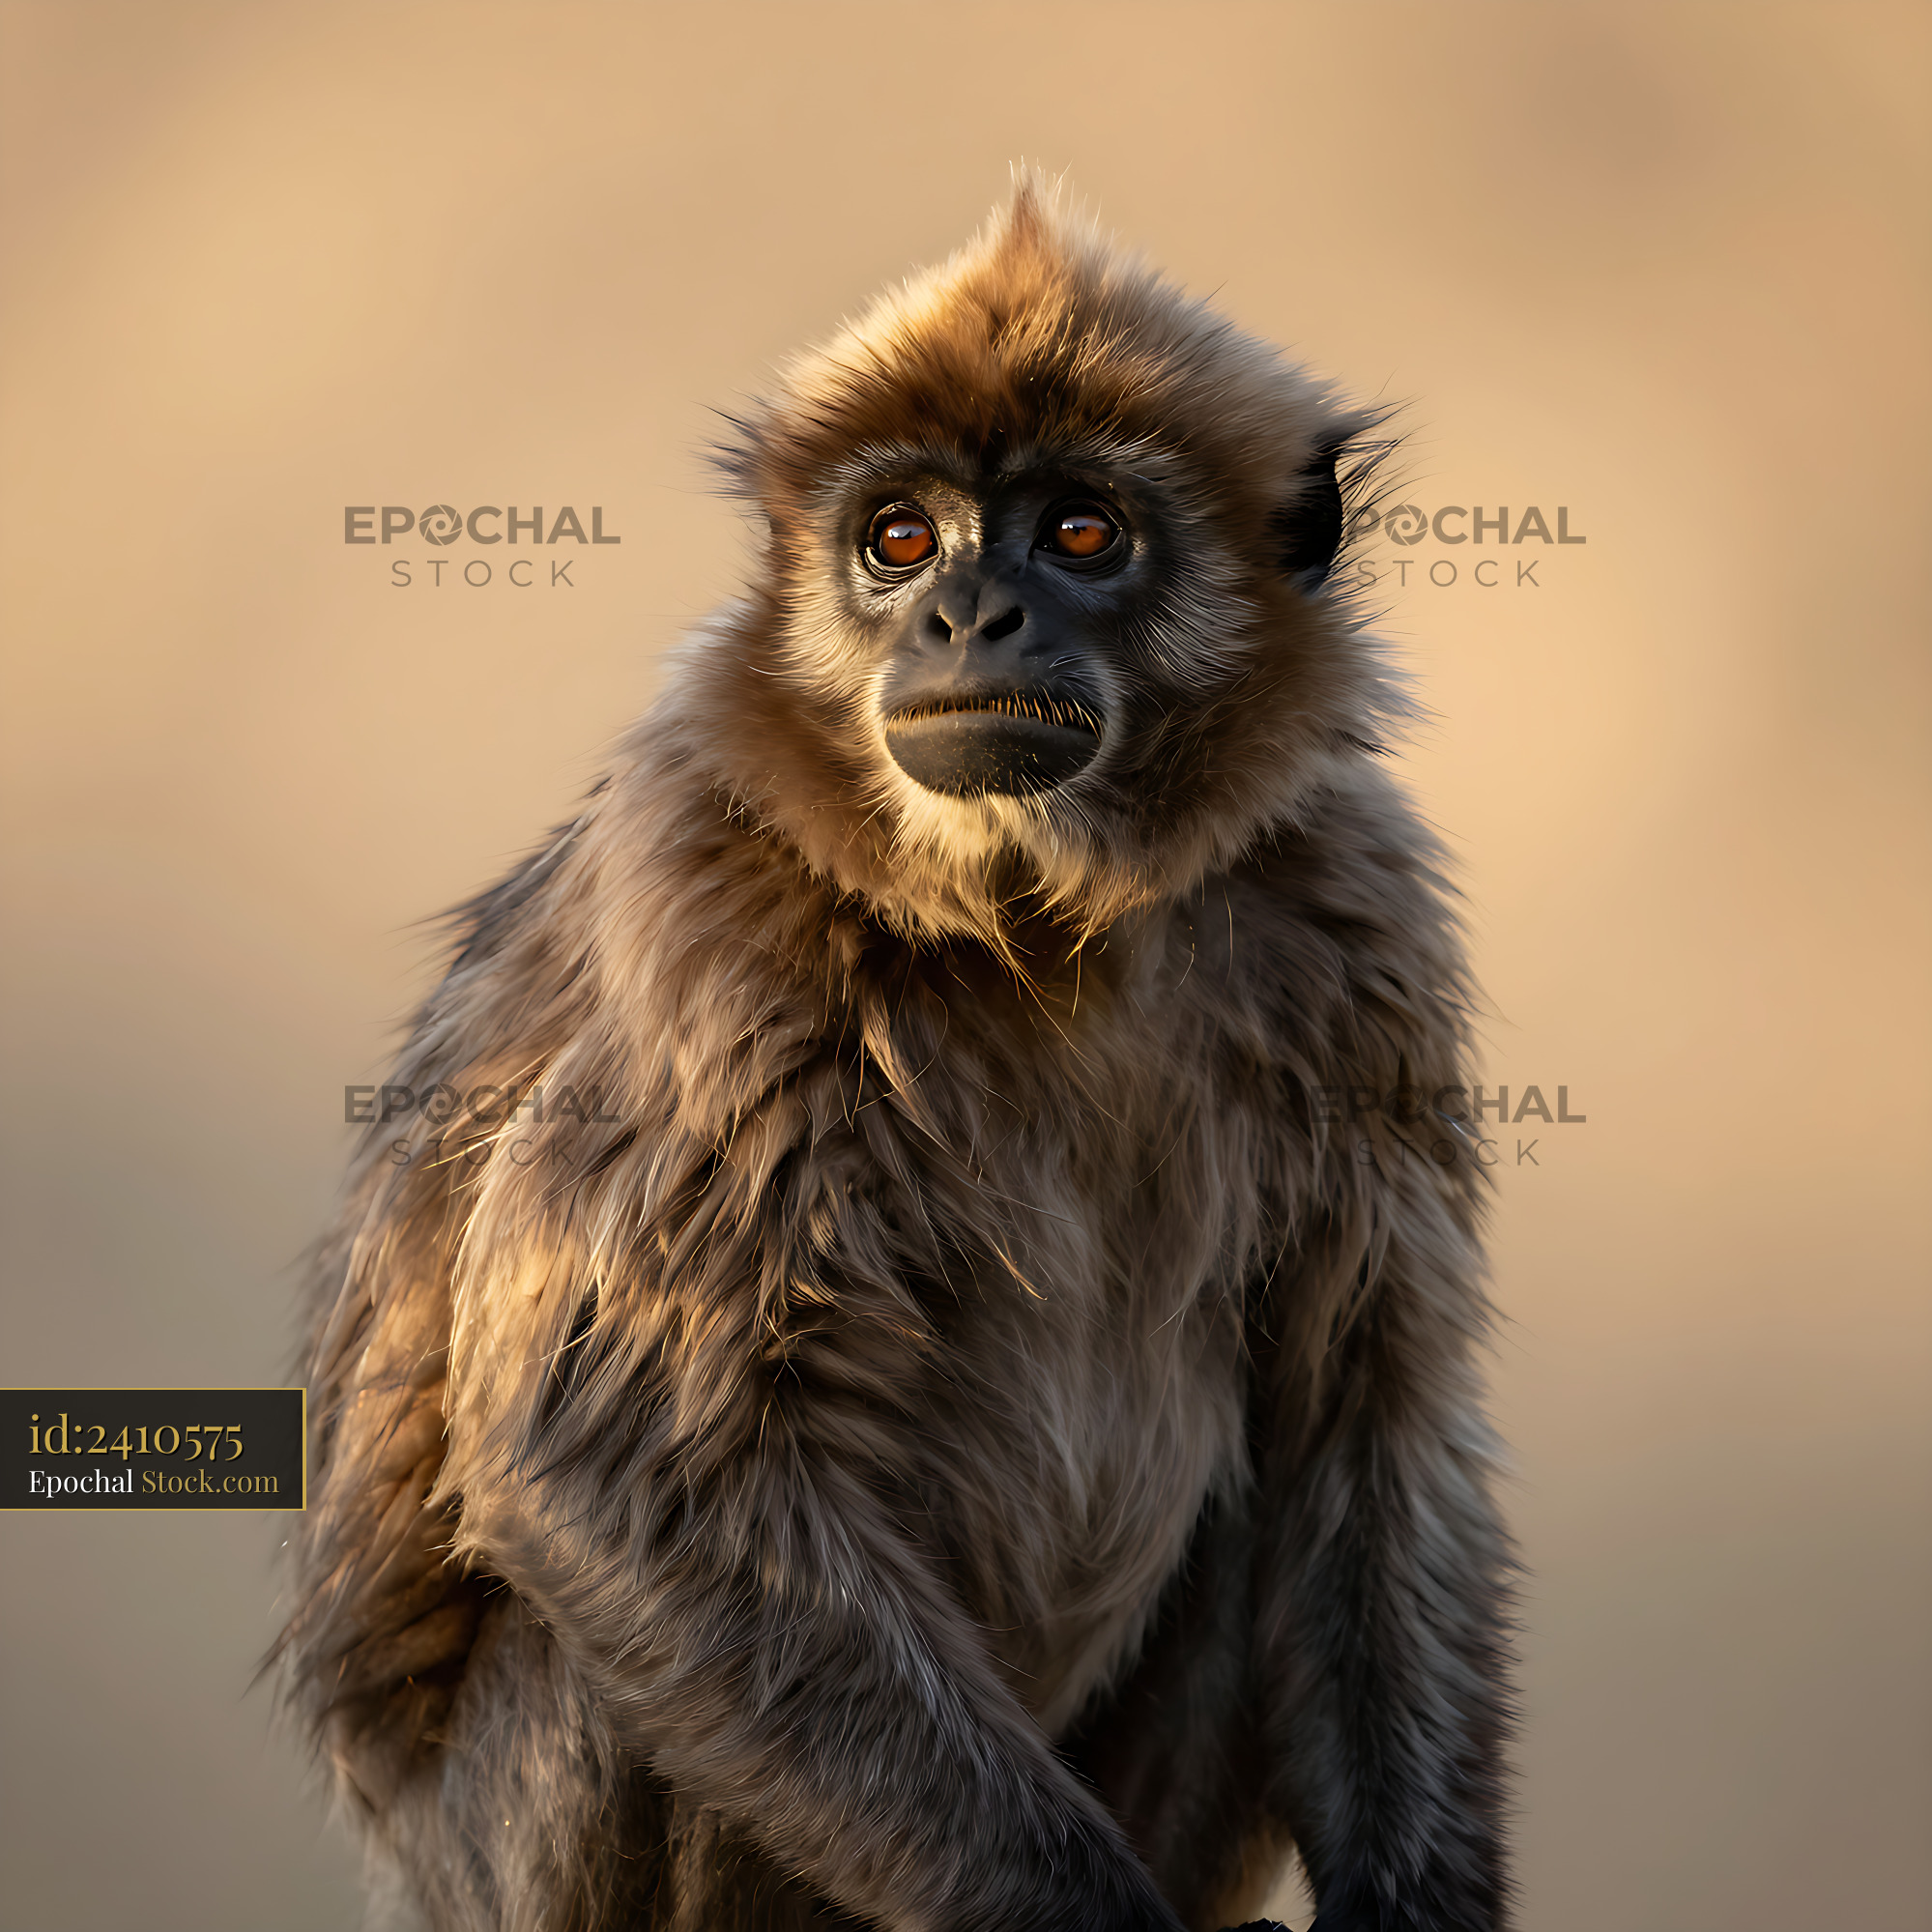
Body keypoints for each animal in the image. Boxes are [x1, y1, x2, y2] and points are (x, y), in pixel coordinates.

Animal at [278, 177, 1514, 1932]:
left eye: (1079, 531)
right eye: (899, 538)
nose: (963, 612)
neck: (1048, 926)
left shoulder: (1355, 903)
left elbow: (1363, 1413)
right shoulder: (705, 883)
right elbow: (613, 1461)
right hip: (540, 1822)